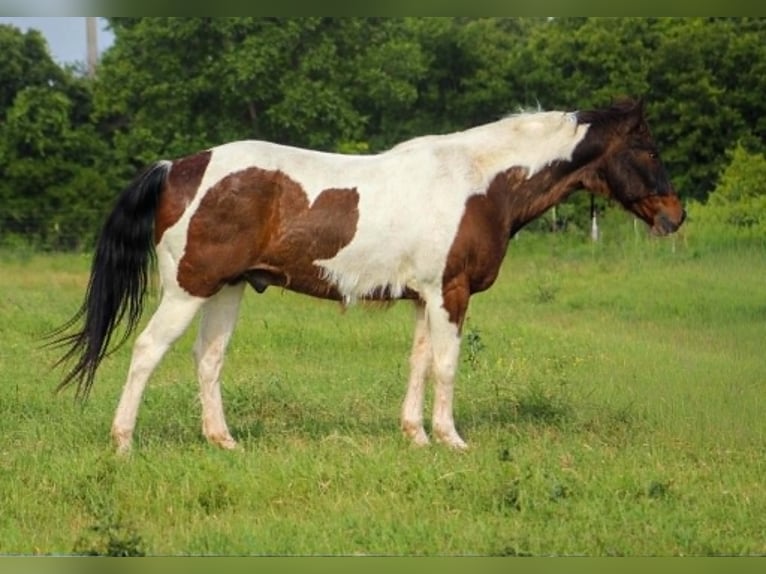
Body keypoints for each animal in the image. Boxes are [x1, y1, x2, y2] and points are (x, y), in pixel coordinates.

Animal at [50, 98, 685, 454]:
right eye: (650, 149)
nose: (676, 215)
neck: (480, 182)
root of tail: (176, 167)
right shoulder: (451, 293)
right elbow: (447, 366)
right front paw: (452, 440)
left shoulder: (425, 297)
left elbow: (419, 363)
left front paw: (416, 436)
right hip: (188, 290)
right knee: (147, 352)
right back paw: (123, 443)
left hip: (226, 290)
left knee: (208, 360)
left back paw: (223, 441)